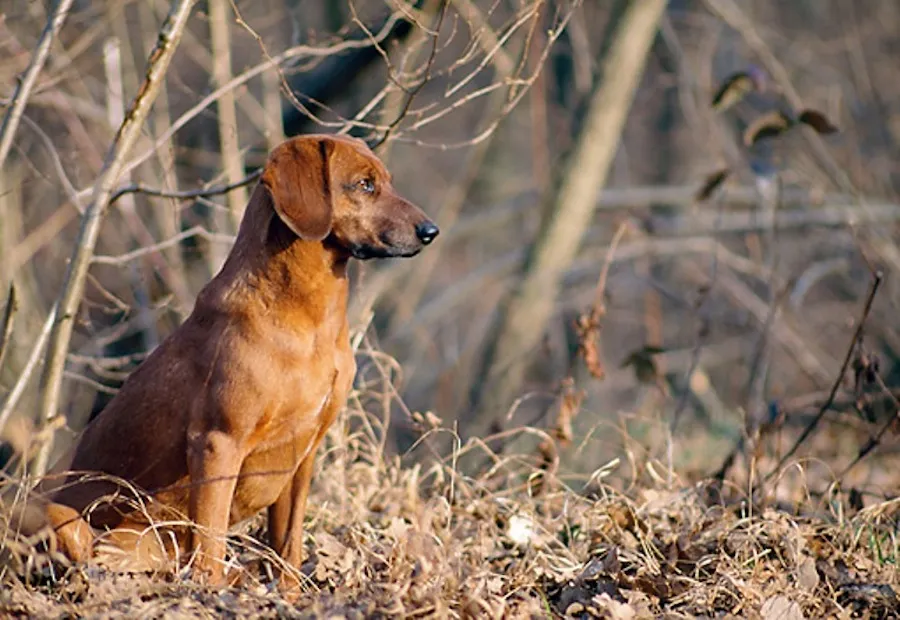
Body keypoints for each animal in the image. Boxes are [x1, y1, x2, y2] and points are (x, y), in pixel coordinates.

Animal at [37, 134, 438, 592]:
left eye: (387, 182)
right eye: (364, 185)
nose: (431, 231)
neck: (308, 321)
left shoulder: (305, 453)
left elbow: (288, 548)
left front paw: (288, 596)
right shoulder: (218, 443)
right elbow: (210, 541)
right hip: (61, 517)